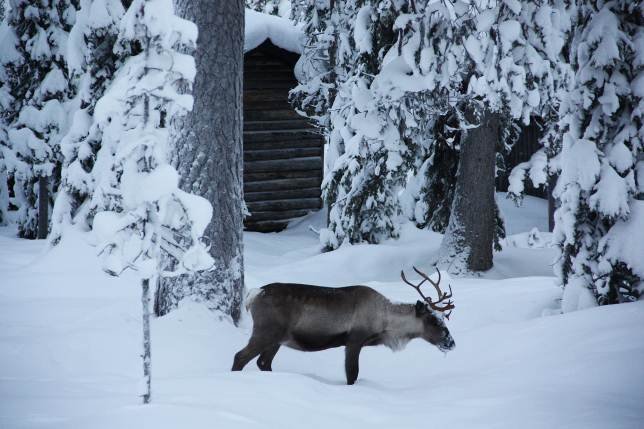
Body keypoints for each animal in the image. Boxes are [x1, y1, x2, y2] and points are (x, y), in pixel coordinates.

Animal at [232, 267, 455, 385]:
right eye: (434, 320)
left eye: (444, 319)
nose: (451, 343)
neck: (386, 322)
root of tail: (253, 294)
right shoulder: (354, 340)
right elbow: (352, 373)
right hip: (266, 332)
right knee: (240, 356)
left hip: (278, 339)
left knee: (263, 362)